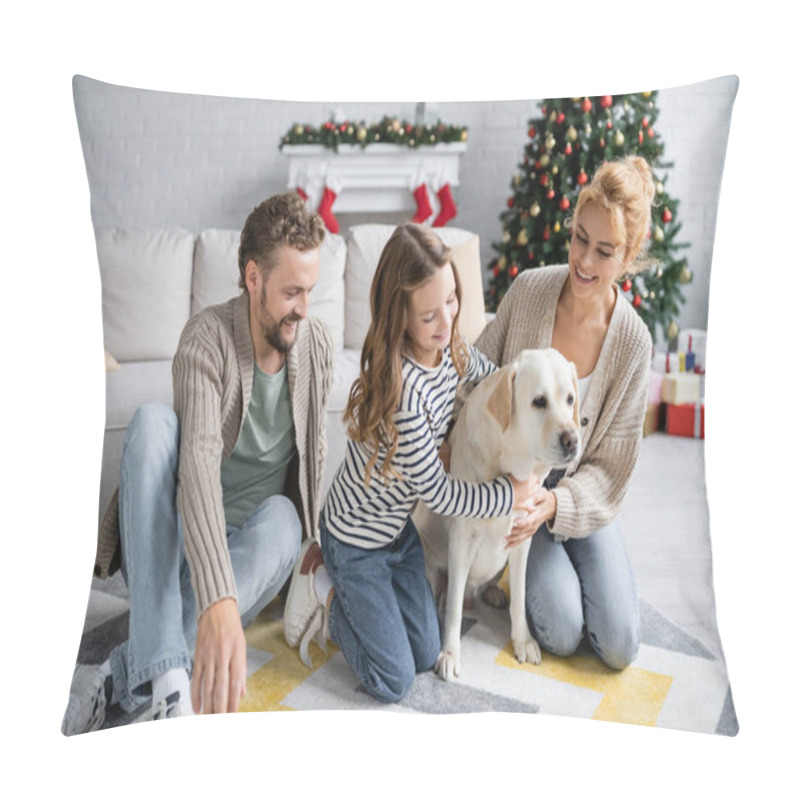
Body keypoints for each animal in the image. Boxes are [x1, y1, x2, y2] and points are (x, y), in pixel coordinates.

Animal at [416, 346, 580, 680]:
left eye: (570, 399)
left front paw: (523, 641)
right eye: (539, 401)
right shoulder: (461, 541)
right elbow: (453, 610)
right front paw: (449, 654)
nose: (572, 440)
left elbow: (519, 598)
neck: (511, 466)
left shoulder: (521, 539)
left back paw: (491, 593)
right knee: (446, 596)